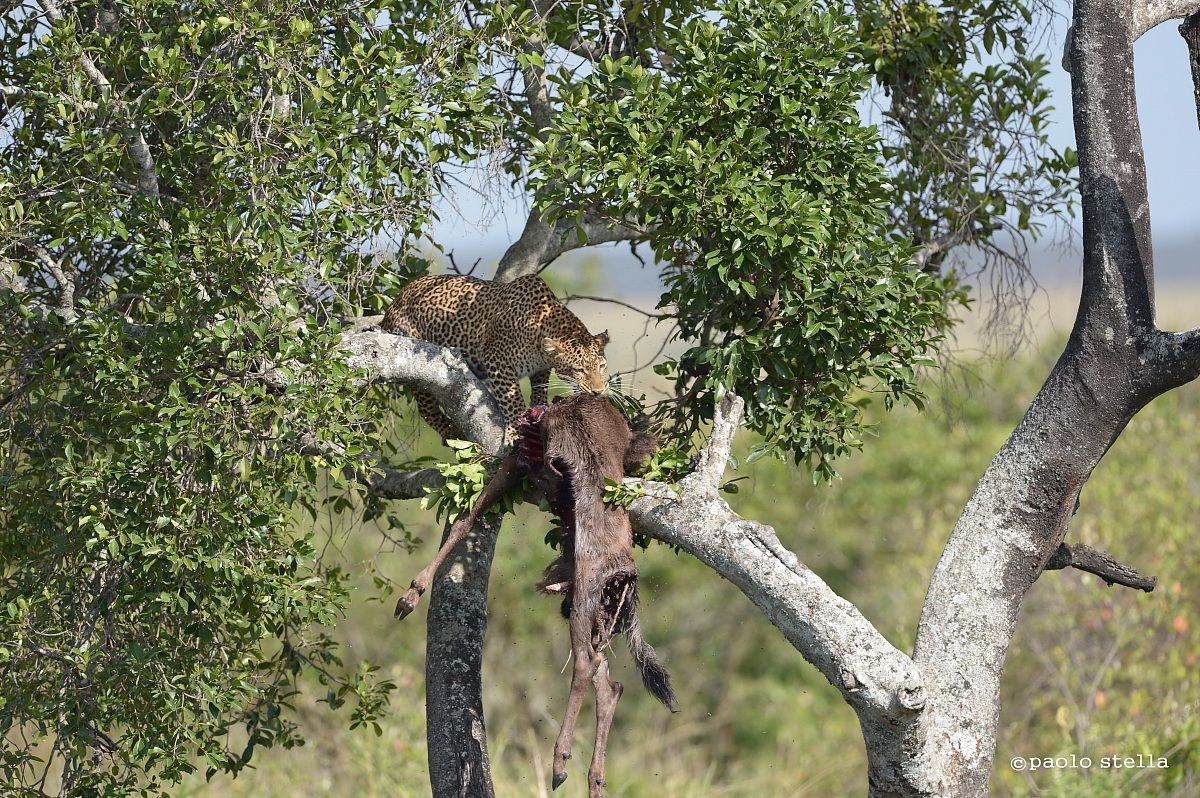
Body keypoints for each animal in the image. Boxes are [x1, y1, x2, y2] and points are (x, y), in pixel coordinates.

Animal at [381, 273, 610, 443]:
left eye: (602, 366)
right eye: (579, 370)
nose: (598, 392)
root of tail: (393, 304)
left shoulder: (541, 367)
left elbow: (540, 389)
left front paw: (537, 409)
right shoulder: (497, 360)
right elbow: (512, 399)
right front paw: (517, 430)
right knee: (426, 407)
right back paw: (451, 431)